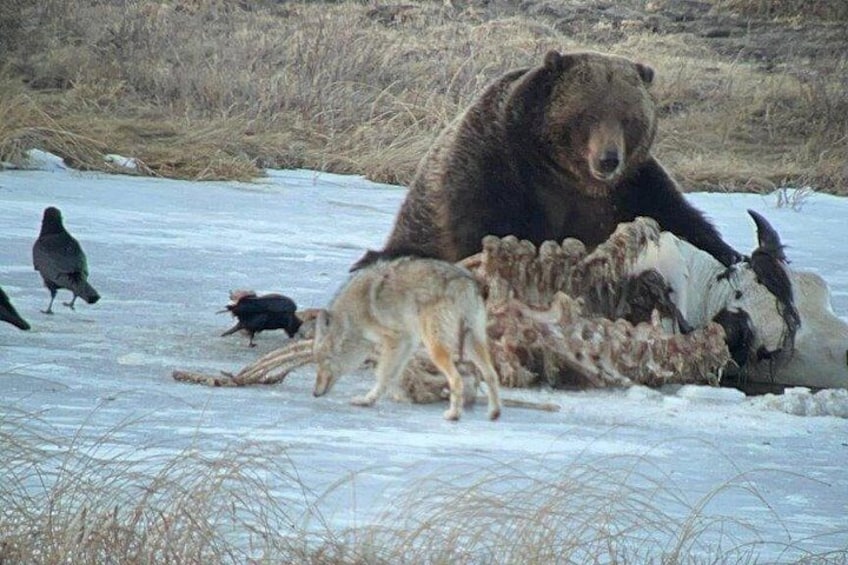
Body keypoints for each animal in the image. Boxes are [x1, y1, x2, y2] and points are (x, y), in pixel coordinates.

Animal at [312, 257, 502, 421]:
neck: (351, 316)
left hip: (435, 348)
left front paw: (367, 400)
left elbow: (382, 374)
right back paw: (494, 413)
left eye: (324, 361)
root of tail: (460, 281)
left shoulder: (394, 340)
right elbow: (392, 374)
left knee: (456, 379)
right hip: (472, 342)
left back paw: (453, 415)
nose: (314, 393)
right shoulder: (407, 342)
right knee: (491, 375)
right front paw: (376, 399)